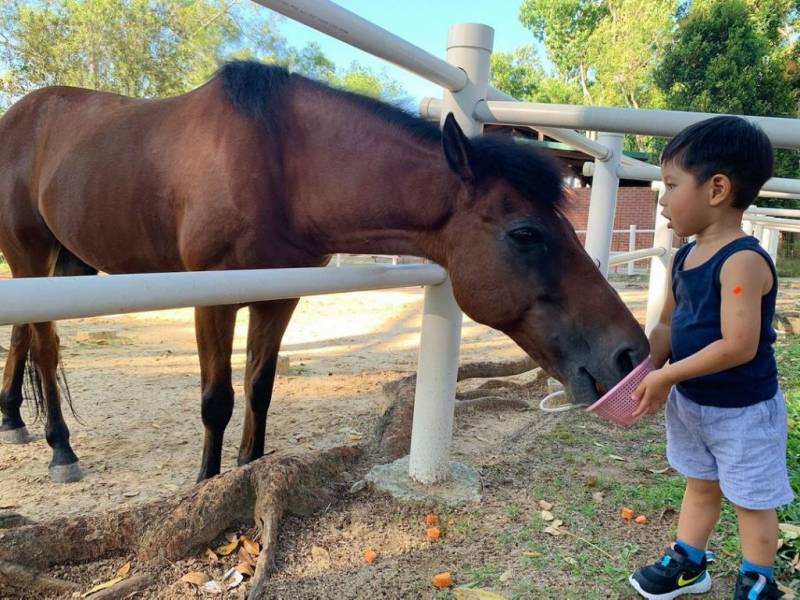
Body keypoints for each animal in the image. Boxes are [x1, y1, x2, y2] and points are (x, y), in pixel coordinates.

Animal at [0, 60, 648, 484]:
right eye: (525, 233)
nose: (631, 353)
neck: (276, 163)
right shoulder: (213, 300)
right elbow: (217, 400)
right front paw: (207, 486)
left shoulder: (279, 298)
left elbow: (260, 389)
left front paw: (248, 471)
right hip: (28, 254)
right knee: (45, 346)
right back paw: (61, 450)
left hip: (64, 262)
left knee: (26, 336)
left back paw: (13, 419)